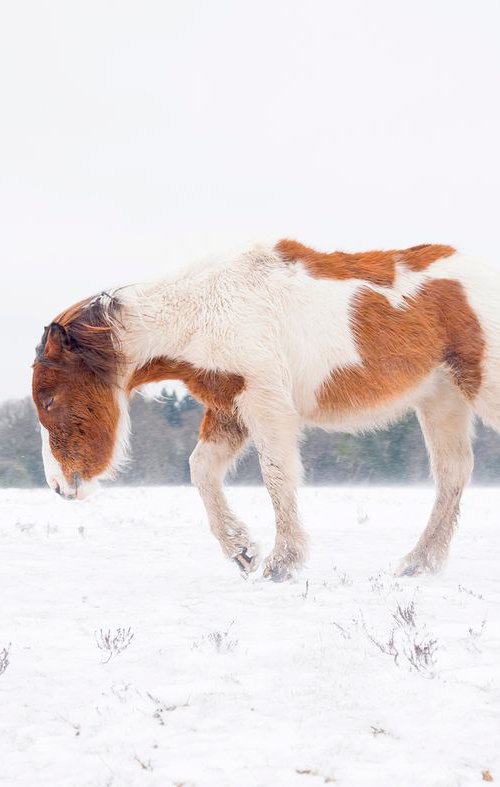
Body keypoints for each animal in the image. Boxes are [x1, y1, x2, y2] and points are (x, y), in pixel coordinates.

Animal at [33, 239, 498, 580]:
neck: (203, 312)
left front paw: (282, 563)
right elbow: (201, 469)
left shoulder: (265, 403)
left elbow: (277, 476)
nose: (58, 486)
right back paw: (419, 564)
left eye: (50, 399)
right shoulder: (229, 408)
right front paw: (241, 550)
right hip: (441, 400)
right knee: (453, 473)